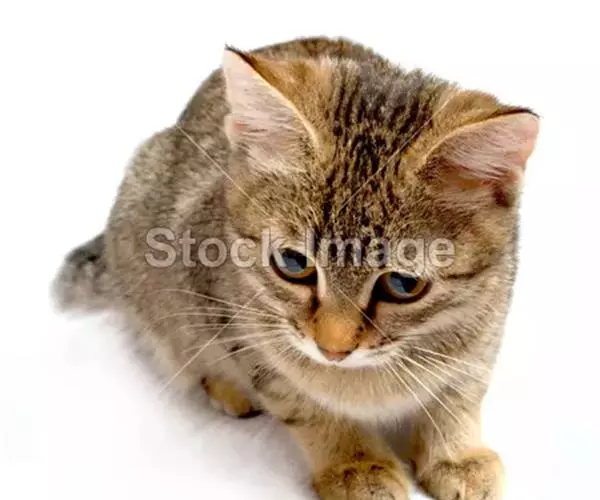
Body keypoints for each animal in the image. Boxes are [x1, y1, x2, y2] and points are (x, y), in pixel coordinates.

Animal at [54, 37, 538, 499]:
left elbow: (462, 389)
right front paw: (355, 463)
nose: (333, 349)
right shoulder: (235, 323)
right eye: (293, 263)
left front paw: (456, 455)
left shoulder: (489, 319)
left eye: (403, 284)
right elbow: (302, 404)